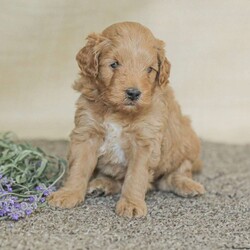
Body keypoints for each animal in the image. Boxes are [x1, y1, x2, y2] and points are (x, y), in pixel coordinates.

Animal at [47, 21, 204, 217]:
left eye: (149, 69)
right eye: (114, 64)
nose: (134, 93)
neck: (117, 111)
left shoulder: (145, 141)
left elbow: (136, 176)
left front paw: (131, 204)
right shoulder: (86, 132)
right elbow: (79, 167)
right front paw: (69, 194)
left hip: (186, 142)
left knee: (175, 174)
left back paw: (187, 185)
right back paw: (102, 184)